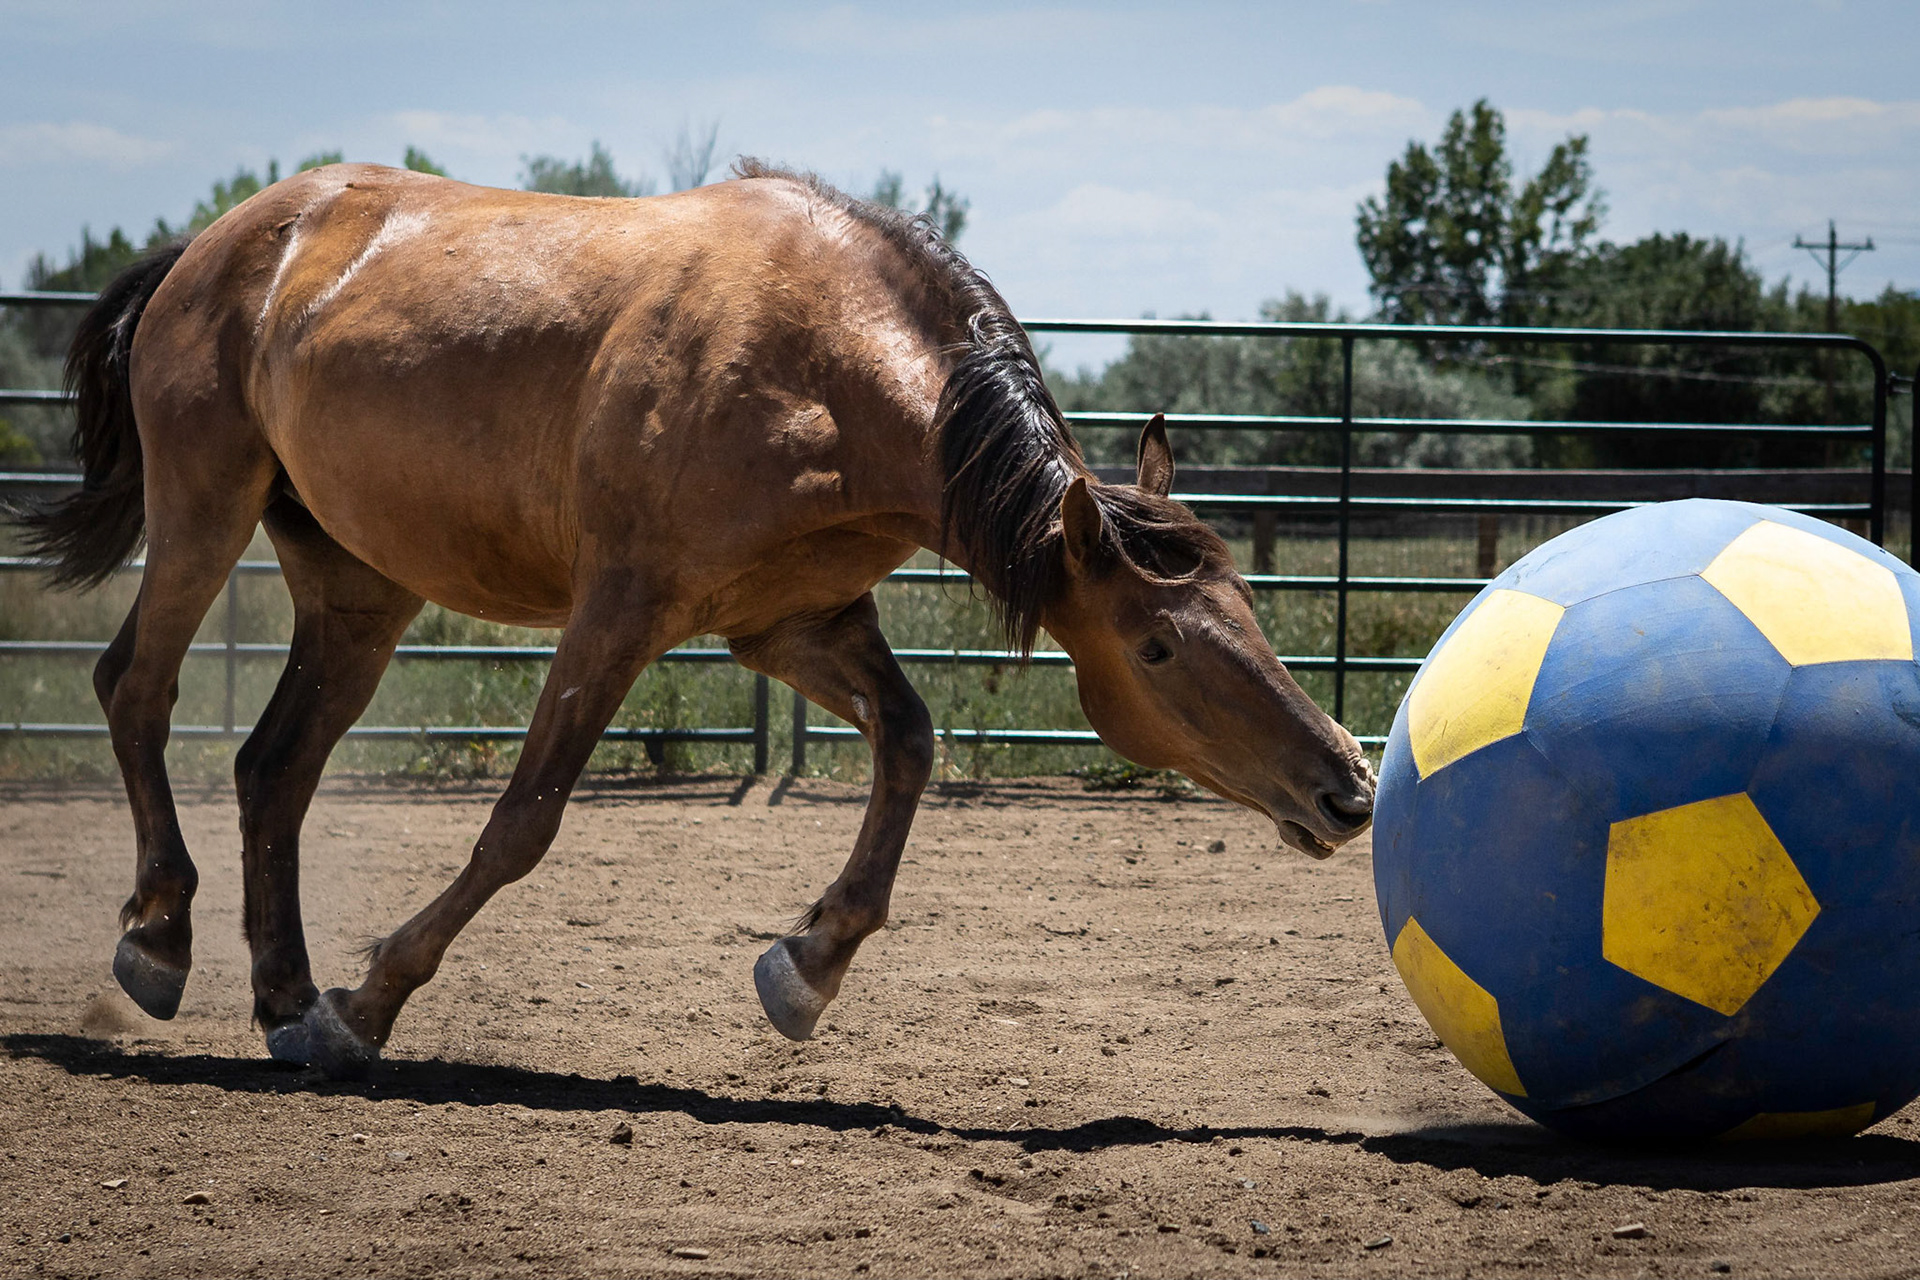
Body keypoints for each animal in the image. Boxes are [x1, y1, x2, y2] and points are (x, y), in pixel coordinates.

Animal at [18, 162, 1375, 1080]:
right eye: (1158, 644)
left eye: (1247, 606)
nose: (1349, 787)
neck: (822, 363)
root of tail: (218, 243)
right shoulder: (620, 612)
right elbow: (523, 819)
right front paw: (375, 1000)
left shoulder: (791, 622)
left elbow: (911, 741)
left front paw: (807, 965)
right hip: (205, 505)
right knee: (136, 689)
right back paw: (163, 943)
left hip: (356, 582)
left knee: (275, 765)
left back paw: (286, 999)